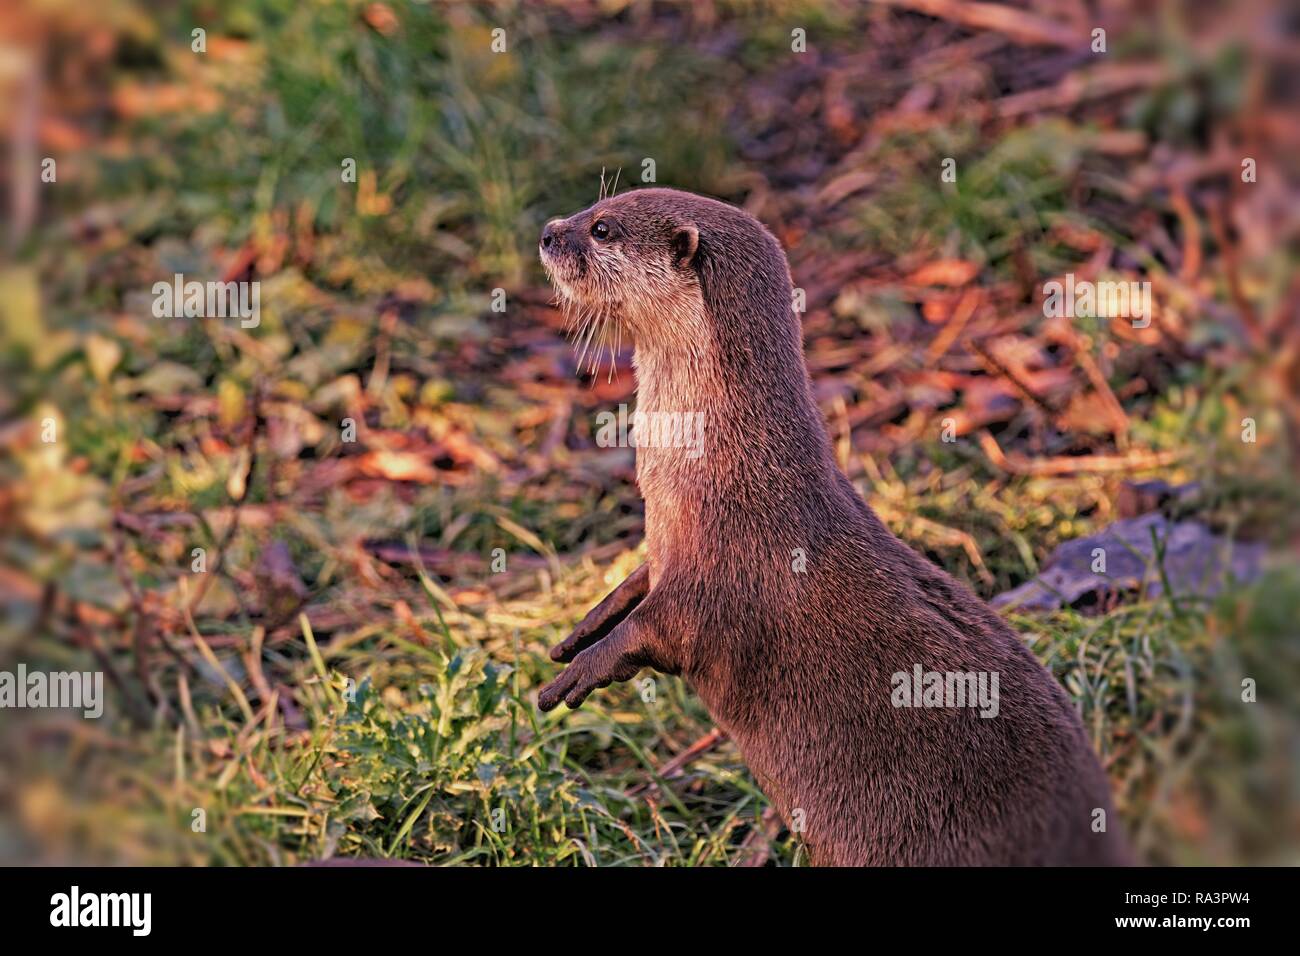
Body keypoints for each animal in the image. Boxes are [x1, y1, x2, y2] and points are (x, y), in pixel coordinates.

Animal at [533, 187, 1133, 868]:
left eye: (602, 228)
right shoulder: (666, 549)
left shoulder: (725, 572)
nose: (549, 232)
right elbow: (639, 584)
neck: (722, 466)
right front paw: (585, 626)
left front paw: (583, 669)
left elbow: (669, 631)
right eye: (594, 206)